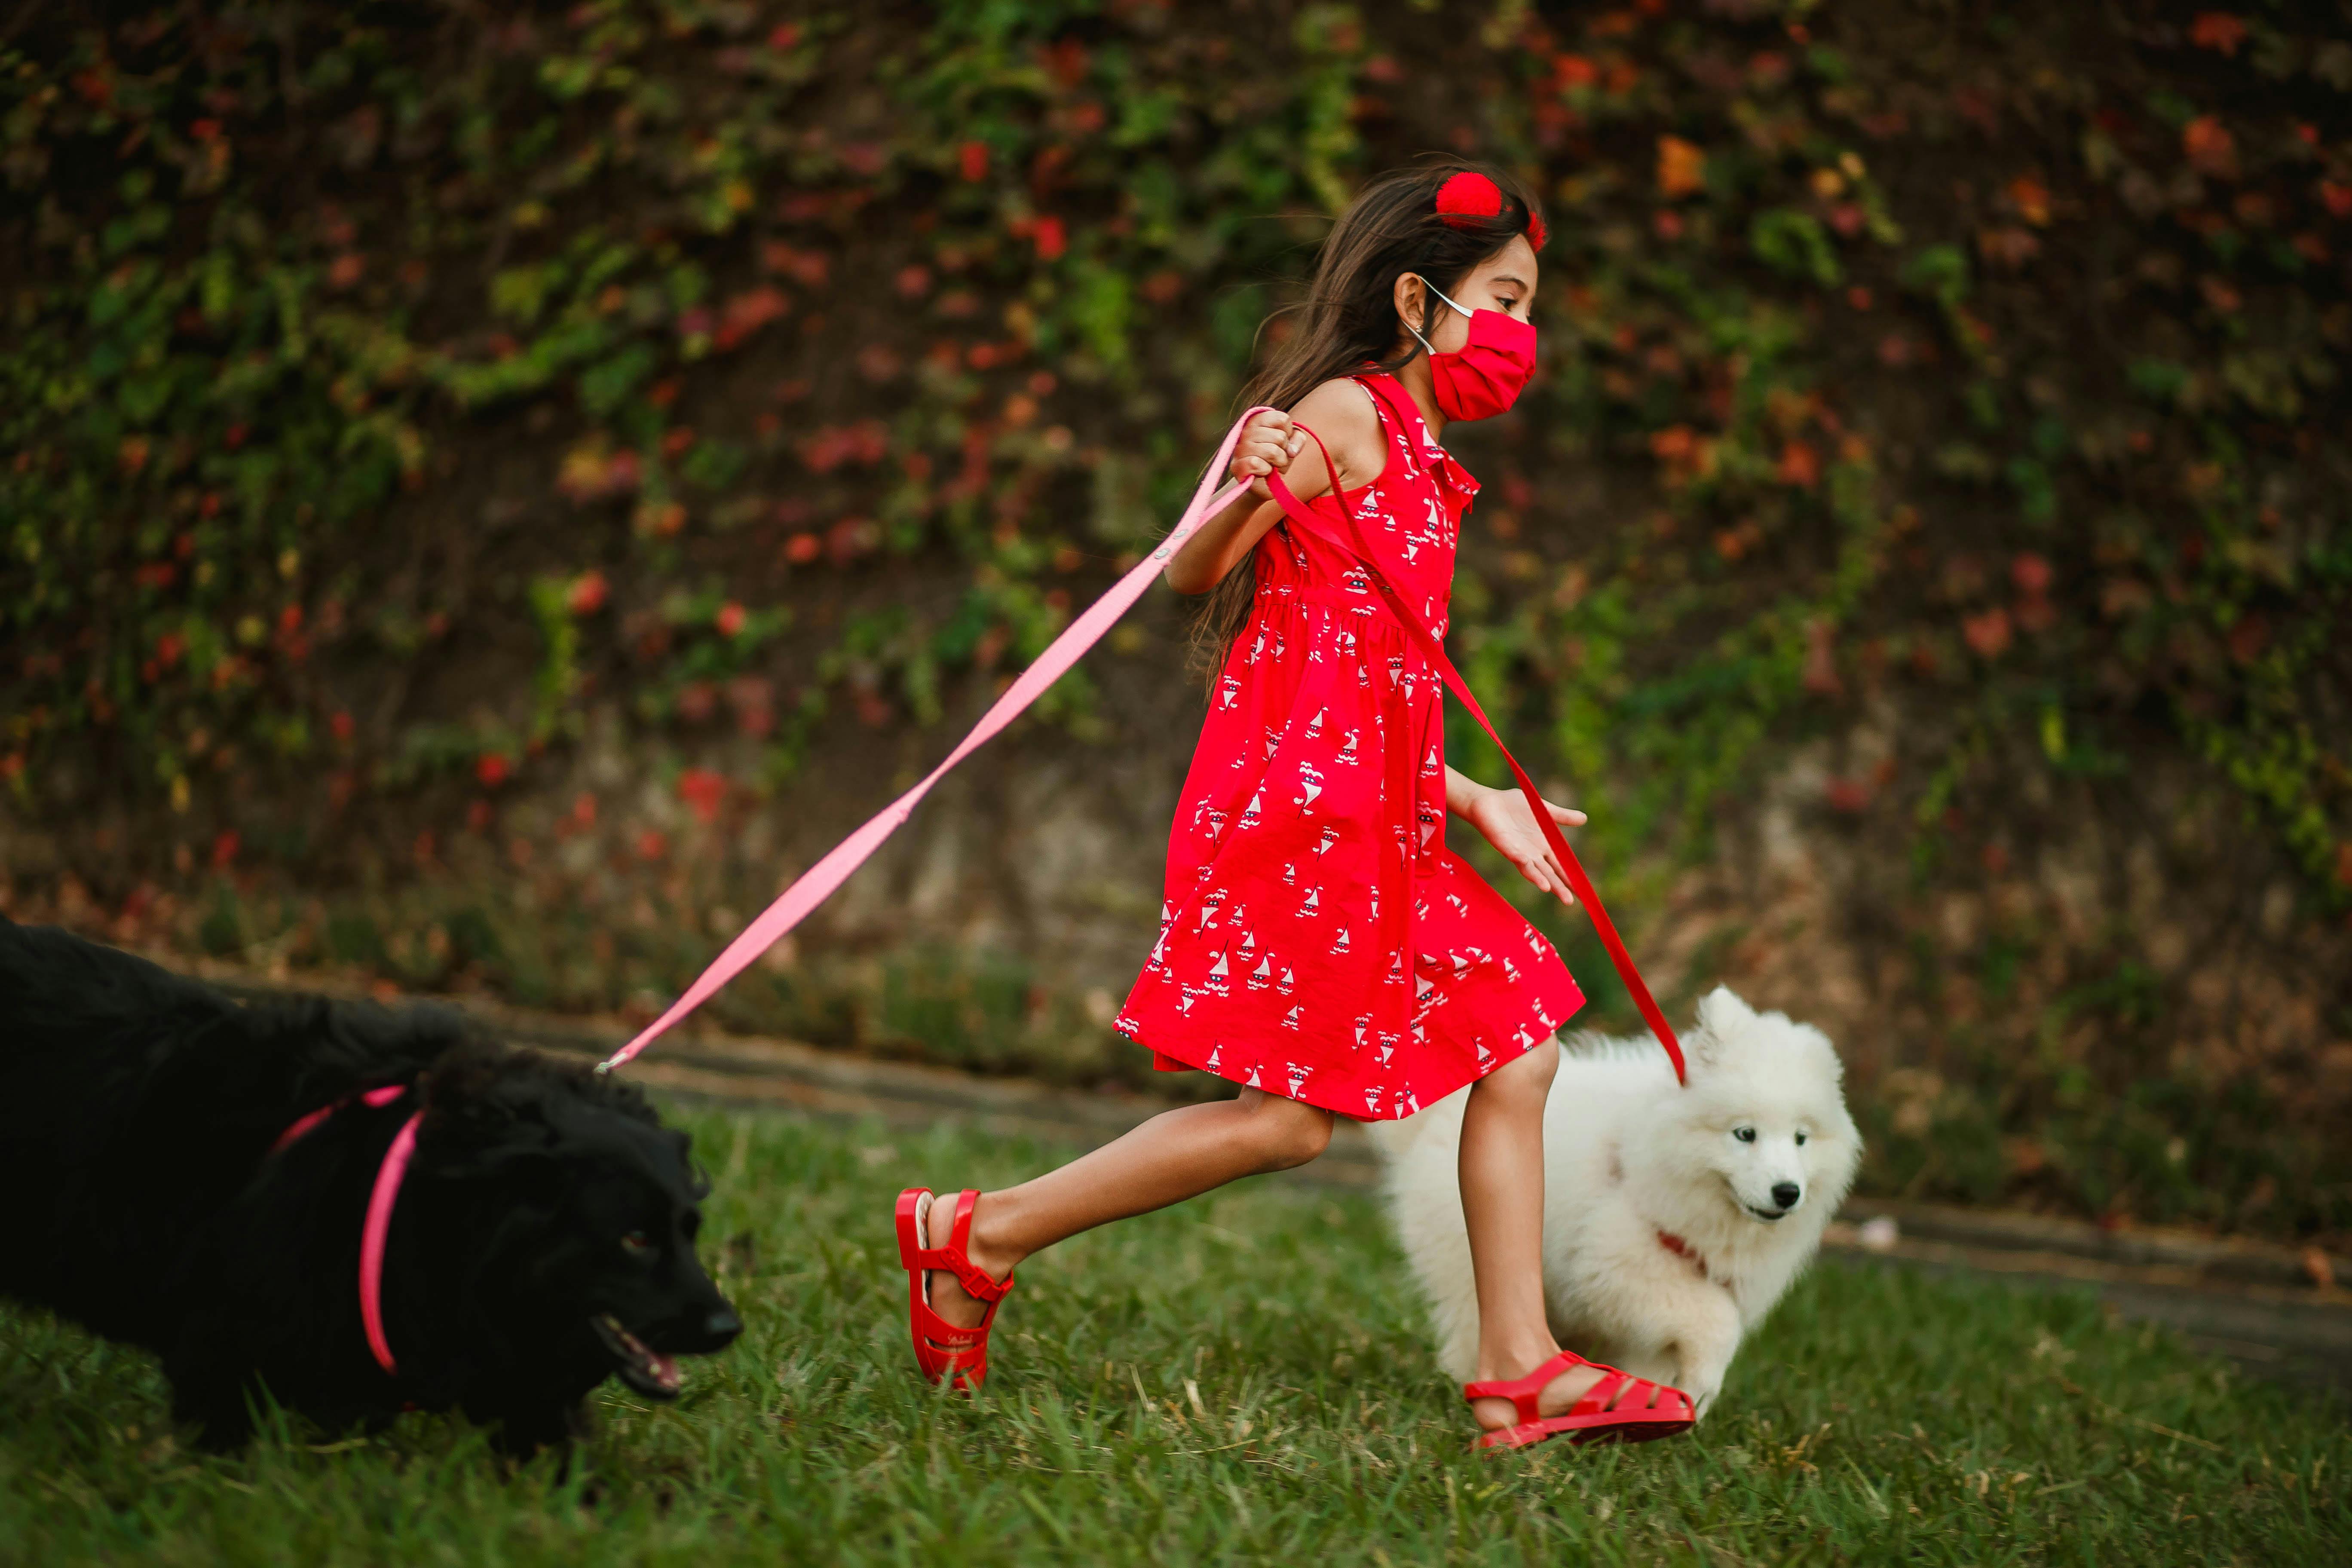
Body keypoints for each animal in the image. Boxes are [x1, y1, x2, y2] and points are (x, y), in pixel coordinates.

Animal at [1373, 992, 1862, 1420]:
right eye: (1745, 1134)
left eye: (1801, 1139)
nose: (1787, 1192)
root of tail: (1437, 1120)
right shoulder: (1615, 1261)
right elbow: (1716, 1320)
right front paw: (1701, 1386)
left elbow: (1660, 1352)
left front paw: (1657, 1404)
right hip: (1471, 1261)